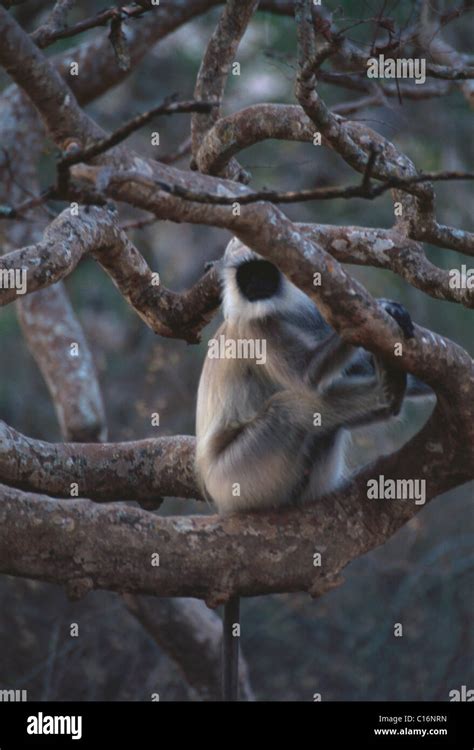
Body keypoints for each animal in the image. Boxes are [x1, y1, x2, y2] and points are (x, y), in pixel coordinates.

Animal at [196, 238, 430, 704]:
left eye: (265, 272)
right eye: (246, 277)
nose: (258, 286)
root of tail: (225, 505)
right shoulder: (258, 329)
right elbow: (305, 377)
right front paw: (381, 312)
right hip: (240, 474)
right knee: (298, 405)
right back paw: (388, 393)